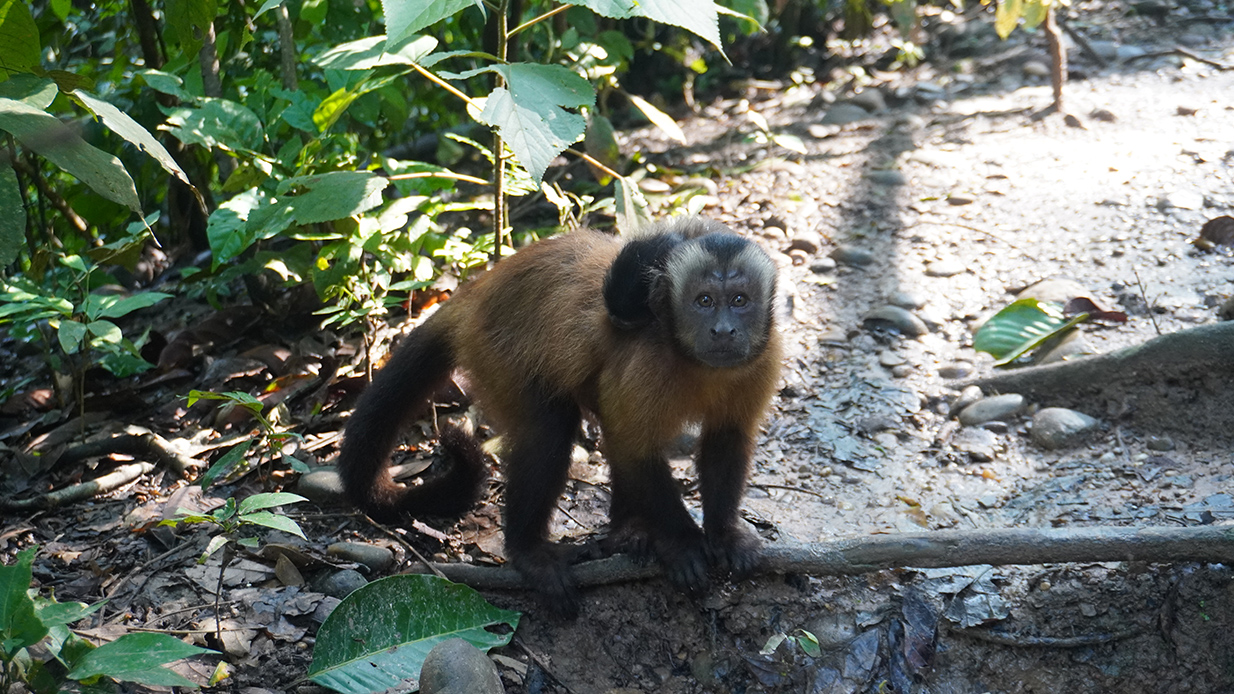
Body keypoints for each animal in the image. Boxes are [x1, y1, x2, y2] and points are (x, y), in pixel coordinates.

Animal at [338, 216, 782, 615]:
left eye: (739, 301)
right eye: (704, 301)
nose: (723, 330)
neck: (694, 362)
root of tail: (478, 290)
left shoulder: (762, 360)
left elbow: (727, 438)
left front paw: (724, 533)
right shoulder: (649, 361)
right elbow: (634, 448)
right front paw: (682, 541)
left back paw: (628, 529)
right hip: (496, 352)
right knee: (549, 429)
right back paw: (529, 550)